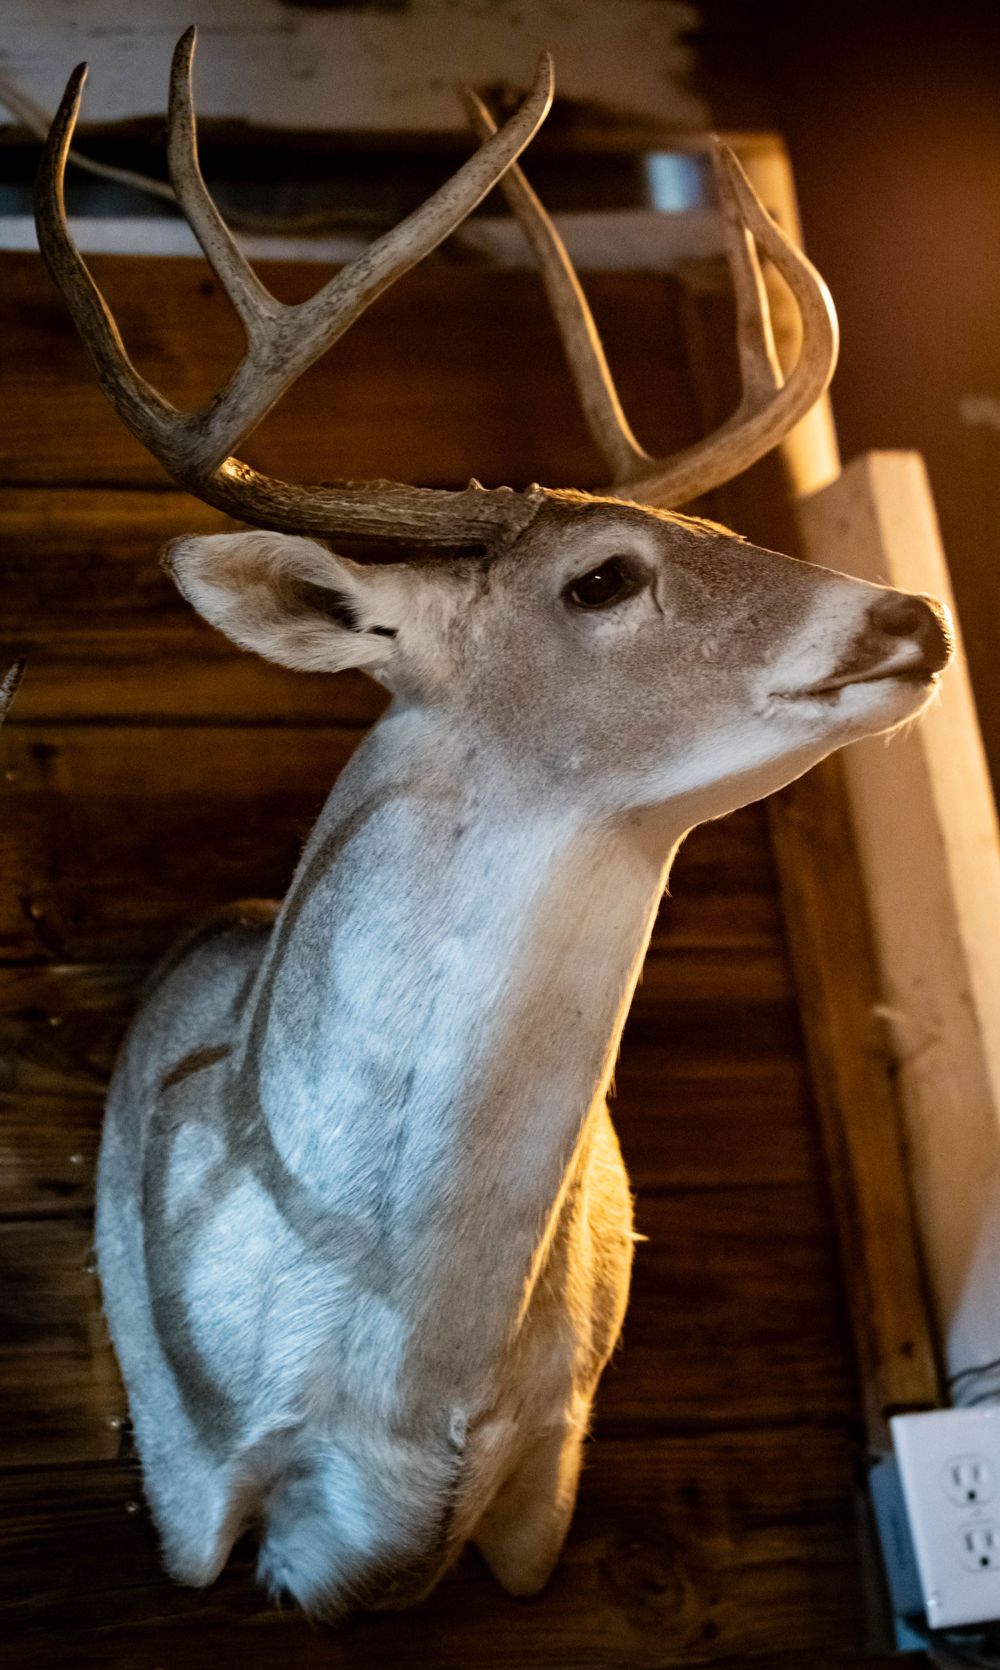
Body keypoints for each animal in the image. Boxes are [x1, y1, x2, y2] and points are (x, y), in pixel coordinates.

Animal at [36, 30, 952, 1620]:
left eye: (730, 534)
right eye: (601, 578)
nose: (910, 617)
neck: (415, 1384)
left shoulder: (551, 1479)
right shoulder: (191, 1482)